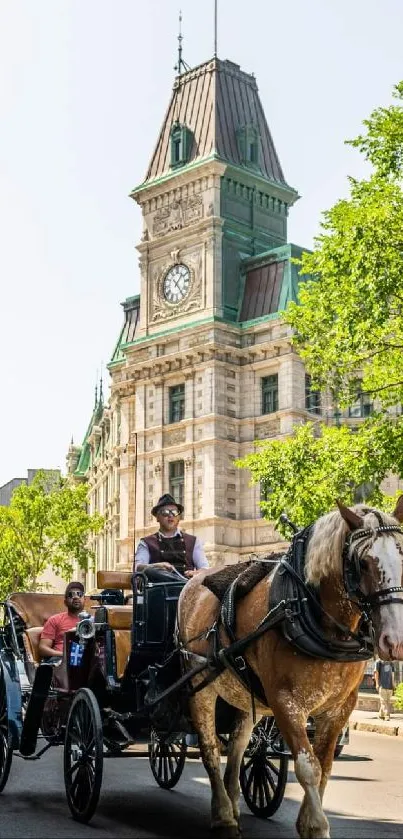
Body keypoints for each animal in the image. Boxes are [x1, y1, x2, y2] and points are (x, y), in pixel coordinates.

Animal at [178, 502, 403, 836]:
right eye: (362, 564)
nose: (394, 640)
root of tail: (191, 581)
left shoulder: (340, 707)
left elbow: (324, 766)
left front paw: (309, 821)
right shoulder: (285, 702)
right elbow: (308, 766)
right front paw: (316, 825)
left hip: (246, 695)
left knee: (238, 746)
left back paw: (233, 802)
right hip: (200, 687)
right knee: (209, 748)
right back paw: (223, 814)